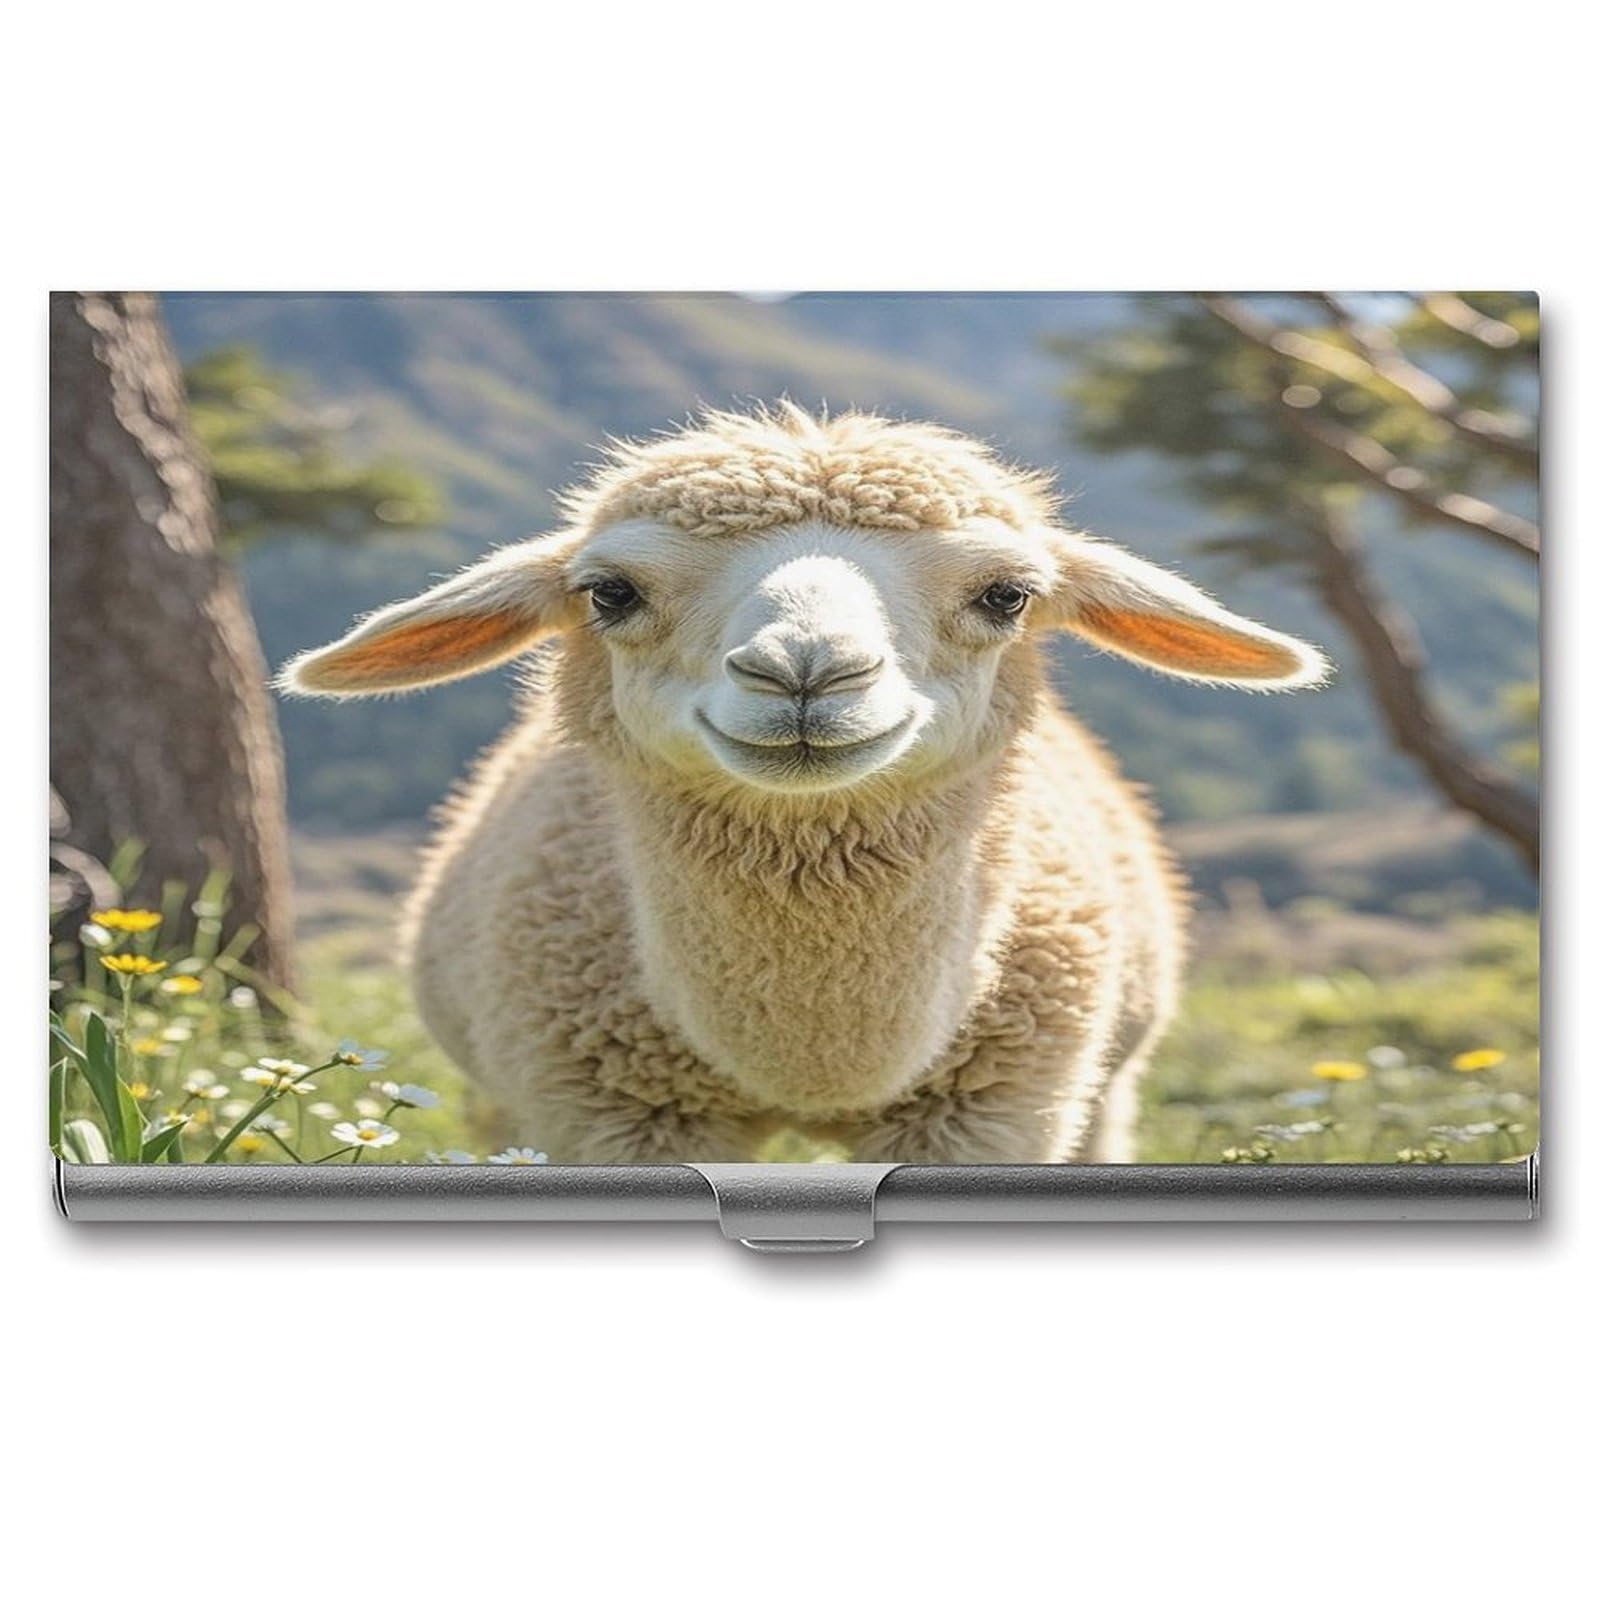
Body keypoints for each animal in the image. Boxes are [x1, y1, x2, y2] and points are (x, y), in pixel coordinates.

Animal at [285, 406, 1328, 1164]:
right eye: (611, 593)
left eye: (1006, 596)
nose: (805, 671)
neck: (814, 1064)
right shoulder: (608, 1110)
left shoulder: (994, 1109)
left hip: (1101, 1089)